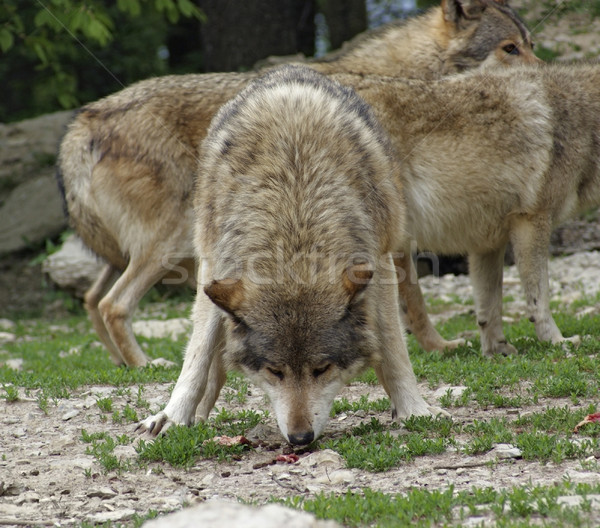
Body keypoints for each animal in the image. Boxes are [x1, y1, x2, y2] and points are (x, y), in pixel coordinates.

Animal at [58, 0, 536, 368]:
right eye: (509, 48)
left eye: (529, 45)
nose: (542, 74)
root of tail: (84, 121)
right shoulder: (394, 223)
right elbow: (415, 299)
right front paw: (438, 346)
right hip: (170, 244)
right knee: (113, 304)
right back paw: (145, 365)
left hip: (124, 253)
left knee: (91, 300)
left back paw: (122, 364)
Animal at [137, 67, 436, 446]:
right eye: (274, 371)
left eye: (321, 369)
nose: (300, 438)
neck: (294, 205)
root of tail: (290, 69)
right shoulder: (214, 266)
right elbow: (198, 354)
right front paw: (172, 416)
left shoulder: (379, 263)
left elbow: (394, 348)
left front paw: (414, 408)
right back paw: (197, 416)